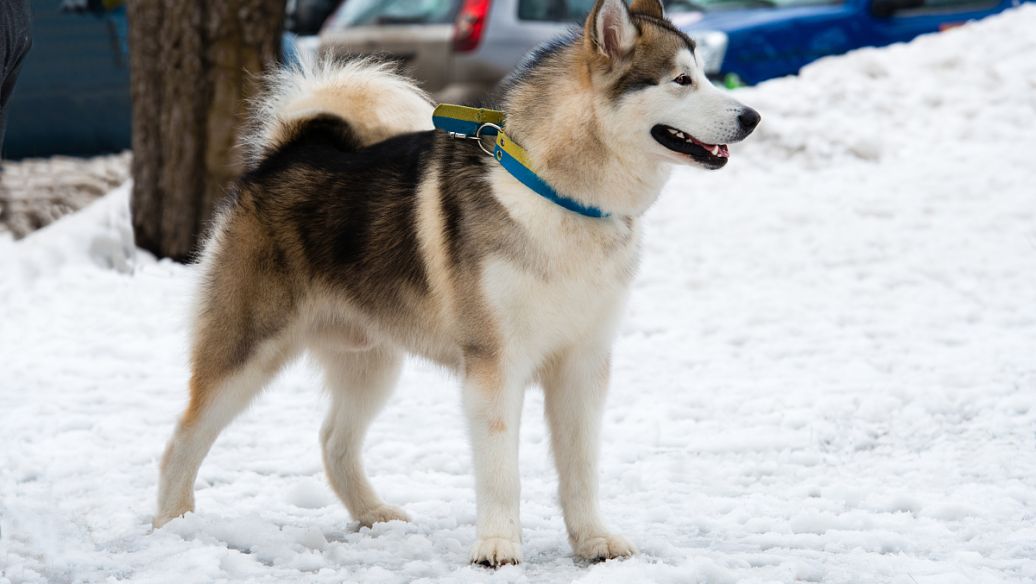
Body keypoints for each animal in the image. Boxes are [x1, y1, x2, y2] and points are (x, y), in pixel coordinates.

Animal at [153, 0, 758, 567]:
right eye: (680, 80)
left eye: (704, 75)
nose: (752, 116)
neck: (559, 196)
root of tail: (287, 153)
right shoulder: (495, 366)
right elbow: (501, 471)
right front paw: (497, 546)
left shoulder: (584, 365)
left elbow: (581, 467)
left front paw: (593, 540)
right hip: (247, 352)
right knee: (182, 437)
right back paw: (172, 525)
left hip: (371, 361)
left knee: (333, 442)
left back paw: (372, 514)